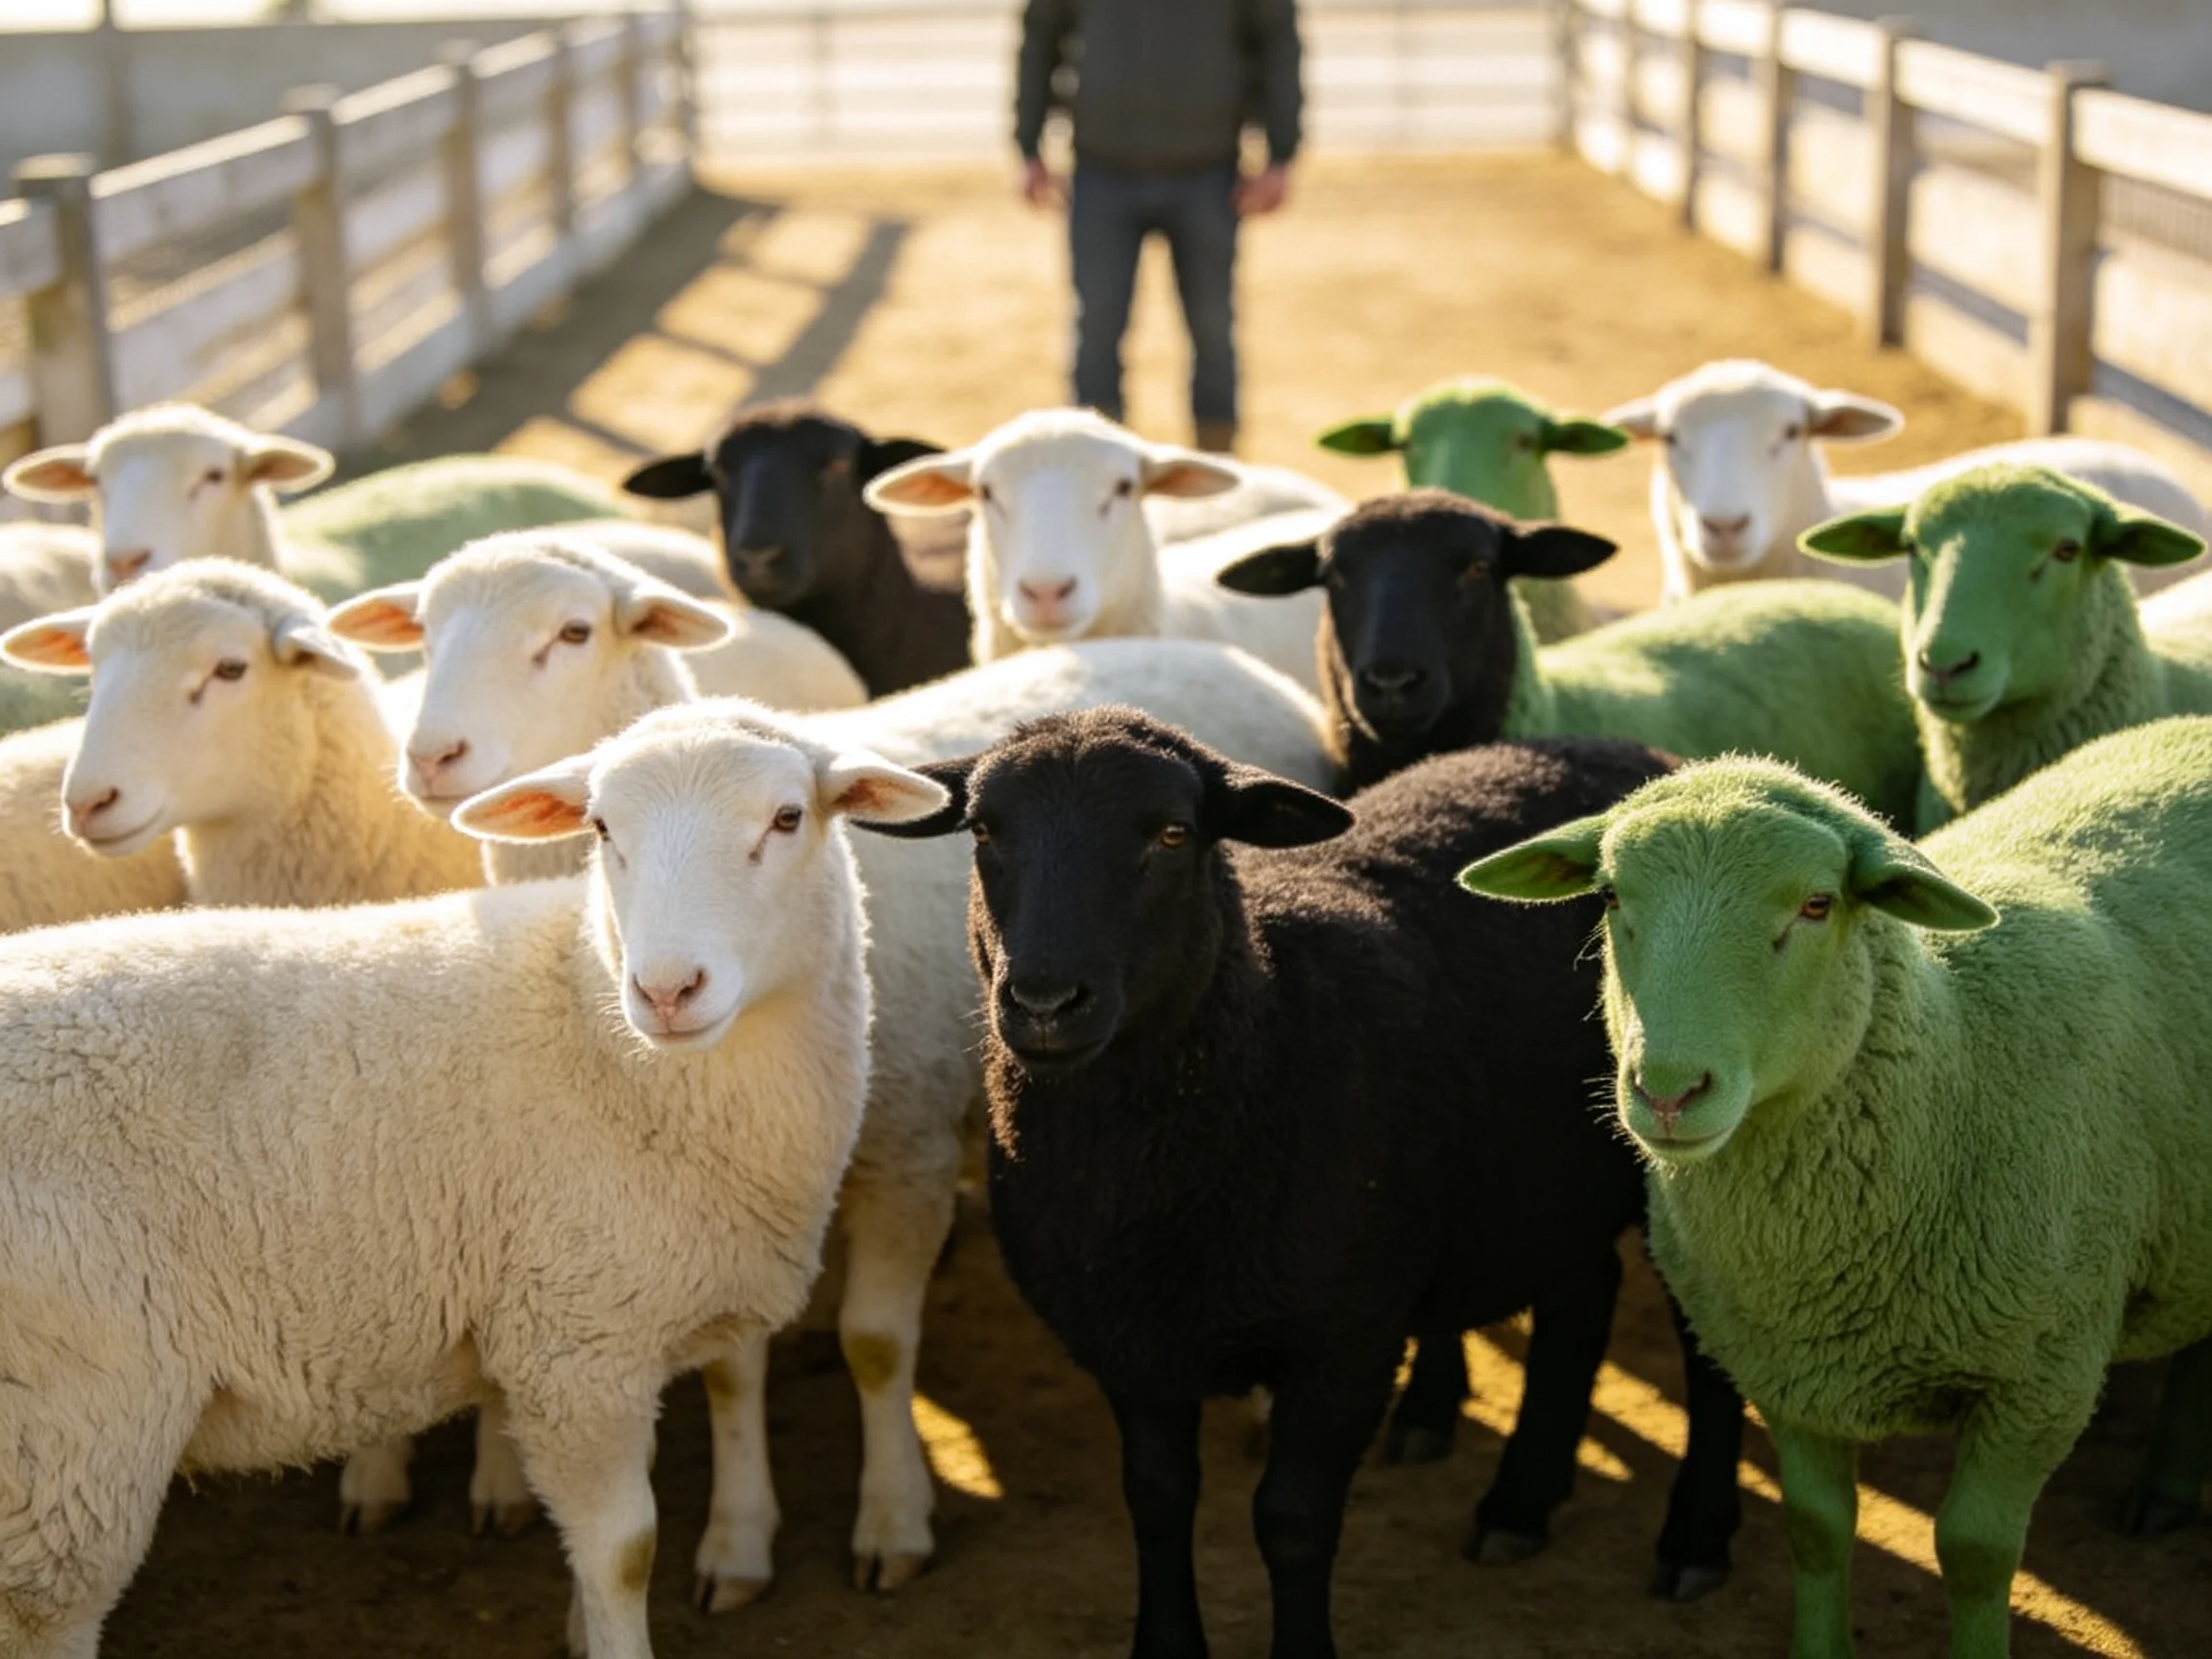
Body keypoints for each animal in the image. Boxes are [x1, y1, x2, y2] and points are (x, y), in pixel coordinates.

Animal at [0, 699, 945, 1659]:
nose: (667, 990)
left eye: (788, 818)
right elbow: (624, 1553)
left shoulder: (599, 1338)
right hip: (71, 1432)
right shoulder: (577, 1340)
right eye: (603, 828)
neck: (598, 1028)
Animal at [863, 710, 1747, 1658]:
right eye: (985, 831)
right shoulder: (1133, 1344)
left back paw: (1695, 1540)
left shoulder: (1344, 1339)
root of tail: (1641, 756)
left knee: (1706, 1345)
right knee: (1583, 1297)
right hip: (1539, 1178)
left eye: (1173, 834)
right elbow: (1157, 1502)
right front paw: (1166, 1645)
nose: (1043, 1002)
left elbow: (1291, 1522)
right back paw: (1520, 1504)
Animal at [1457, 718, 2212, 1659]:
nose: (1667, 1091)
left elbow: (1972, 1553)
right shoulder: (1787, 1371)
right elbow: (1815, 1531)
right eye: (1609, 899)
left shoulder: (2042, 1381)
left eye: (1817, 905)